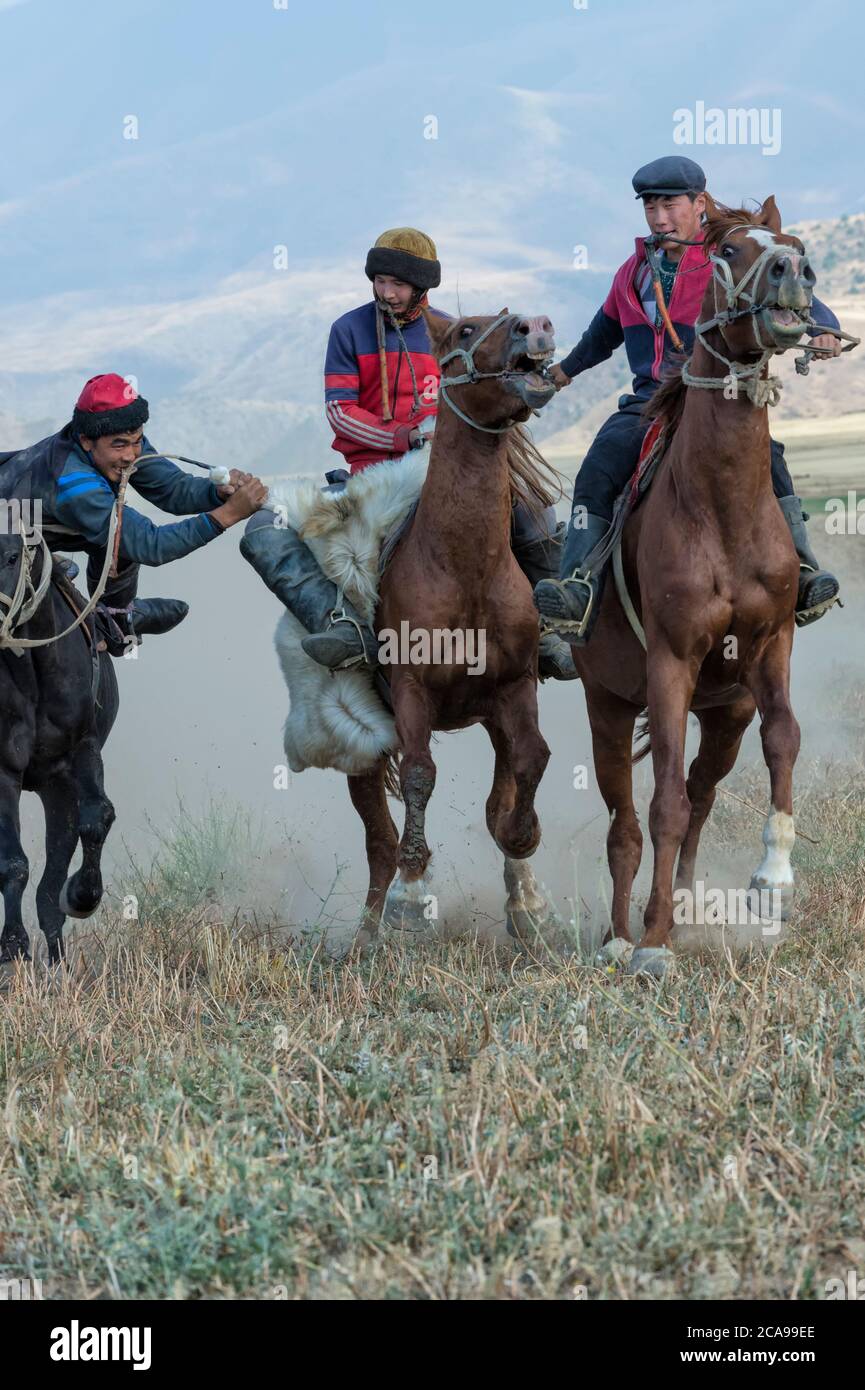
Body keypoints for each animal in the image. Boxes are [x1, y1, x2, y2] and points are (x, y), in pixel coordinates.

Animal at [0, 517, 117, 961]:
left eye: (12, 556)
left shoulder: (75, 758)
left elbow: (97, 816)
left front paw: (82, 896)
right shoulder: (4, 770)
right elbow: (13, 863)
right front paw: (12, 947)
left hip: (55, 790)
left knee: (50, 888)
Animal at [349, 309, 567, 950]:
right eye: (467, 329)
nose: (535, 326)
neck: (465, 565)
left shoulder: (514, 688)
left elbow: (529, 766)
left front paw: (529, 893)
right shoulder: (412, 693)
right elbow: (421, 776)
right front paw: (411, 893)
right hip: (362, 744)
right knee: (378, 840)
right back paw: (367, 934)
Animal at [572, 195, 839, 978]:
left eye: (787, 241)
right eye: (725, 251)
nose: (793, 273)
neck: (719, 507)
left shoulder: (769, 645)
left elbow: (784, 739)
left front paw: (772, 876)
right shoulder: (670, 661)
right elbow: (659, 806)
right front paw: (652, 944)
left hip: (723, 714)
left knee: (699, 796)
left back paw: (687, 905)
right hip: (606, 707)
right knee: (628, 821)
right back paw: (621, 935)